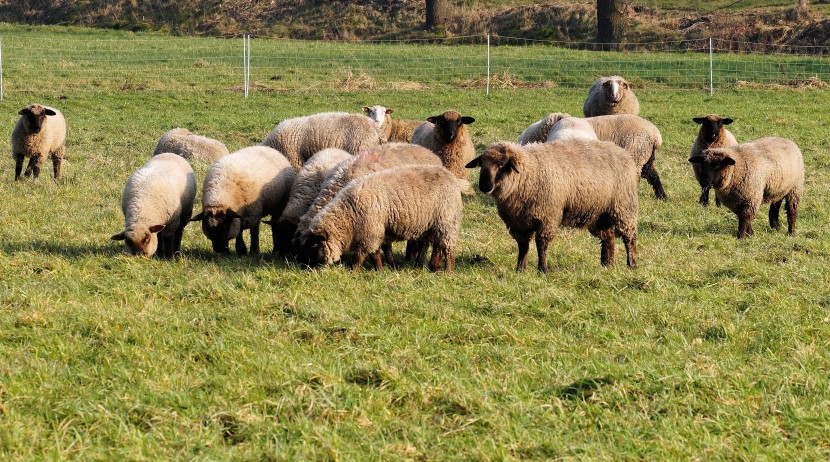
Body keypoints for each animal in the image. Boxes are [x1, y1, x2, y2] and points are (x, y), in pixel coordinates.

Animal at [302, 166, 464, 272]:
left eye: (315, 245)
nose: (308, 268)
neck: (349, 213)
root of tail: (452, 177)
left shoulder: (370, 231)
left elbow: (363, 254)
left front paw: (353, 270)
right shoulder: (376, 231)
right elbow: (378, 252)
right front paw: (382, 269)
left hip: (446, 220)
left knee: (448, 248)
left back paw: (448, 271)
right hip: (433, 224)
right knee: (437, 245)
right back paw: (433, 267)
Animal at [464, 139, 640, 272]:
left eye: (501, 165)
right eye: (481, 164)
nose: (484, 187)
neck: (528, 172)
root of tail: (622, 151)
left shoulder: (546, 216)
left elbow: (541, 245)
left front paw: (542, 269)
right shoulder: (518, 222)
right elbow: (523, 246)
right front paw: (520, 269)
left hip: (623, 207)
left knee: (629, 237)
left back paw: (631, 264)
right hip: (598, 213)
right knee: (608, 237)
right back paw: (606, 264)